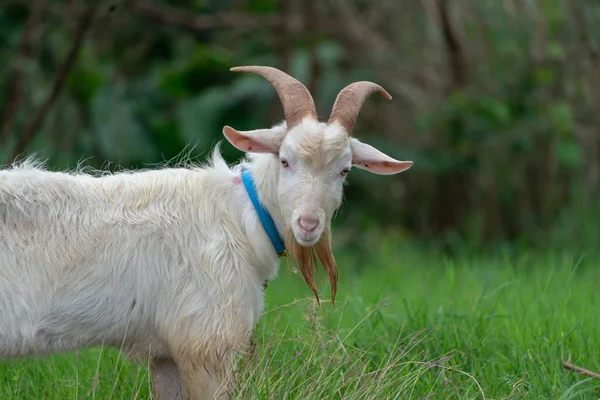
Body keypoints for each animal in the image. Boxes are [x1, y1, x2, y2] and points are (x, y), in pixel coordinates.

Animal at [0, 65, 412, 396]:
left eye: (344, 170)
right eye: (284, 160)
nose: (308, 224)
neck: (240, 219)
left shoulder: (165, 354)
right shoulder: (203, 344)